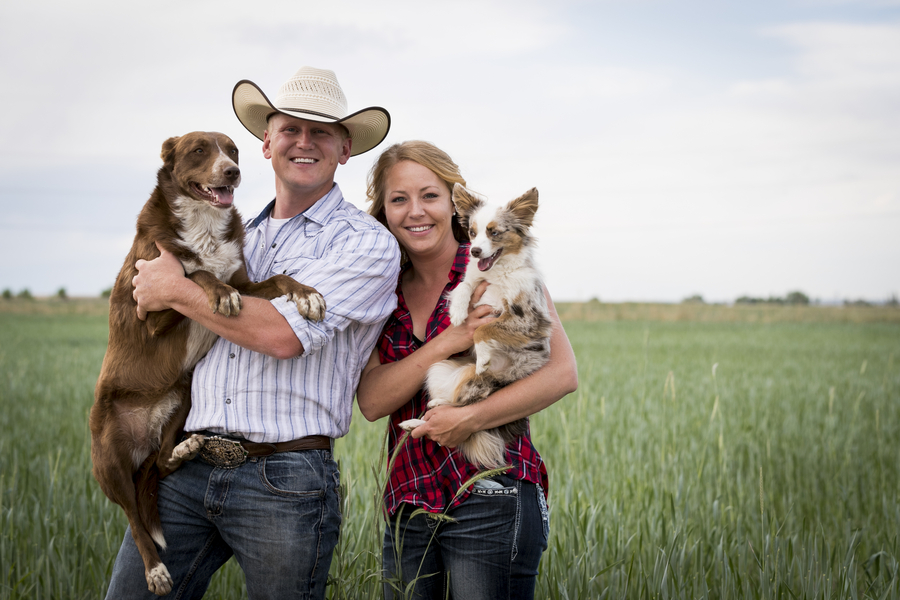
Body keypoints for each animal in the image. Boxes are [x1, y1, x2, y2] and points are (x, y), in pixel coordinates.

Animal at [88, 131, 326, 596]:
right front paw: (217, 292)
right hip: (108, 459)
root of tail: (142, 437)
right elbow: (192, 274)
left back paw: (185, 448)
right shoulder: (151, 305)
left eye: (232, 150)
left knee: (162, 464)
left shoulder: (249, 283)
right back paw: (155, 570)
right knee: (134, 517)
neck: (202, 223)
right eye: (199, 150)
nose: (232, 172)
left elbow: (279, 279)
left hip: (182, 397)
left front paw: (307, 294)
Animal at [402, 183, 556, 468]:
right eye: (472, 233)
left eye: (494, 232)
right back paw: (423, 414)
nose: (474, 251)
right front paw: (458, 312)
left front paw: (483, 355)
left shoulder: (530, 319)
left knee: (463, 410)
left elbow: (485, 328)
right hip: (440, 368)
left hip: (479, 384)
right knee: (453, 404)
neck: (497, 273)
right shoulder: (474, 280)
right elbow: (463, 285)